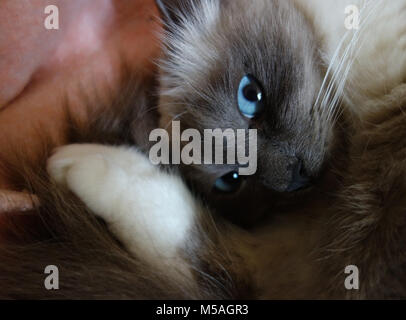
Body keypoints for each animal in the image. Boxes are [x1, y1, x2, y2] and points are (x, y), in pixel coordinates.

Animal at [0, 0, 406, 300]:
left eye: (250, 95)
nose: (296, 175)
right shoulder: (312, 259)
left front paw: (81, 163)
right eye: (232, 180)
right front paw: (74, 164)